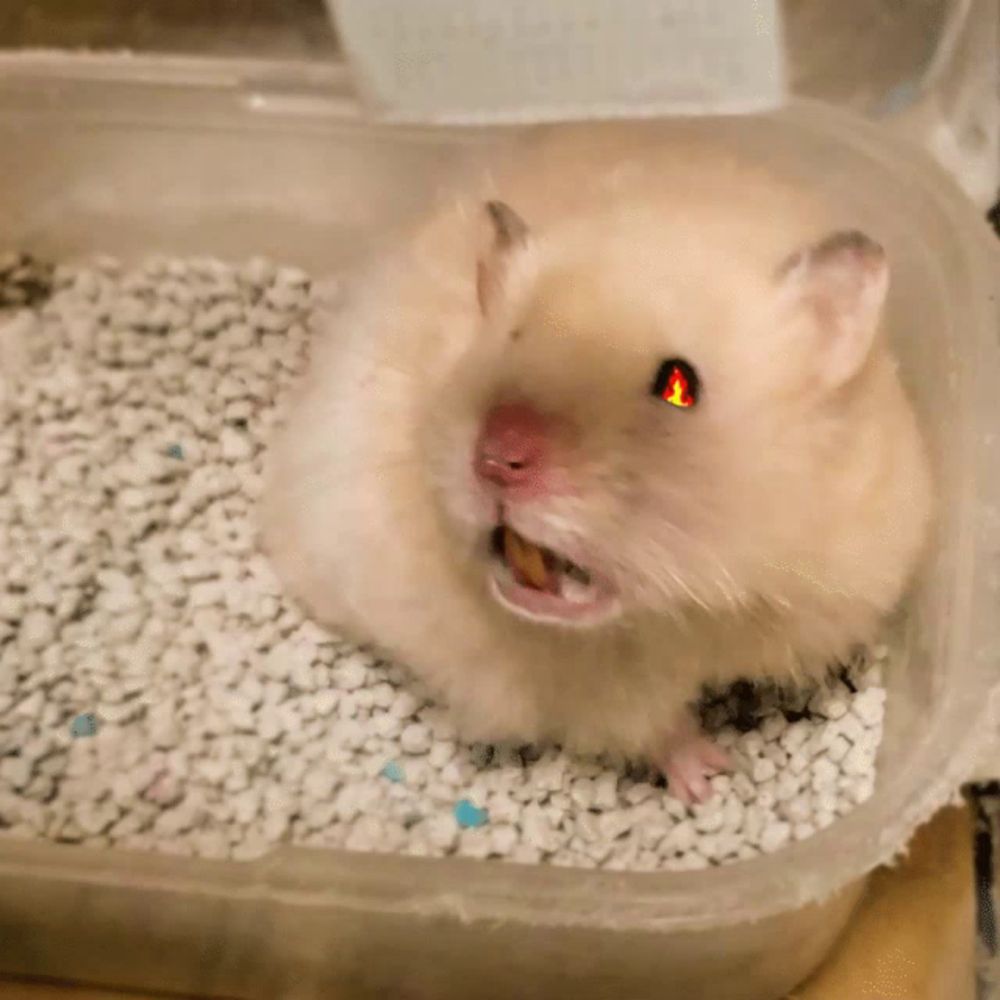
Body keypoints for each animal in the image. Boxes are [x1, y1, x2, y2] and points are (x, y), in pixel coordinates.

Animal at [262, 121, 932, 804]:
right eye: (508, 340)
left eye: (679, 386)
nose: (495, 459)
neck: (693, 611)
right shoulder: (597, 692)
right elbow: (657, 728)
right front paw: (710, 779)